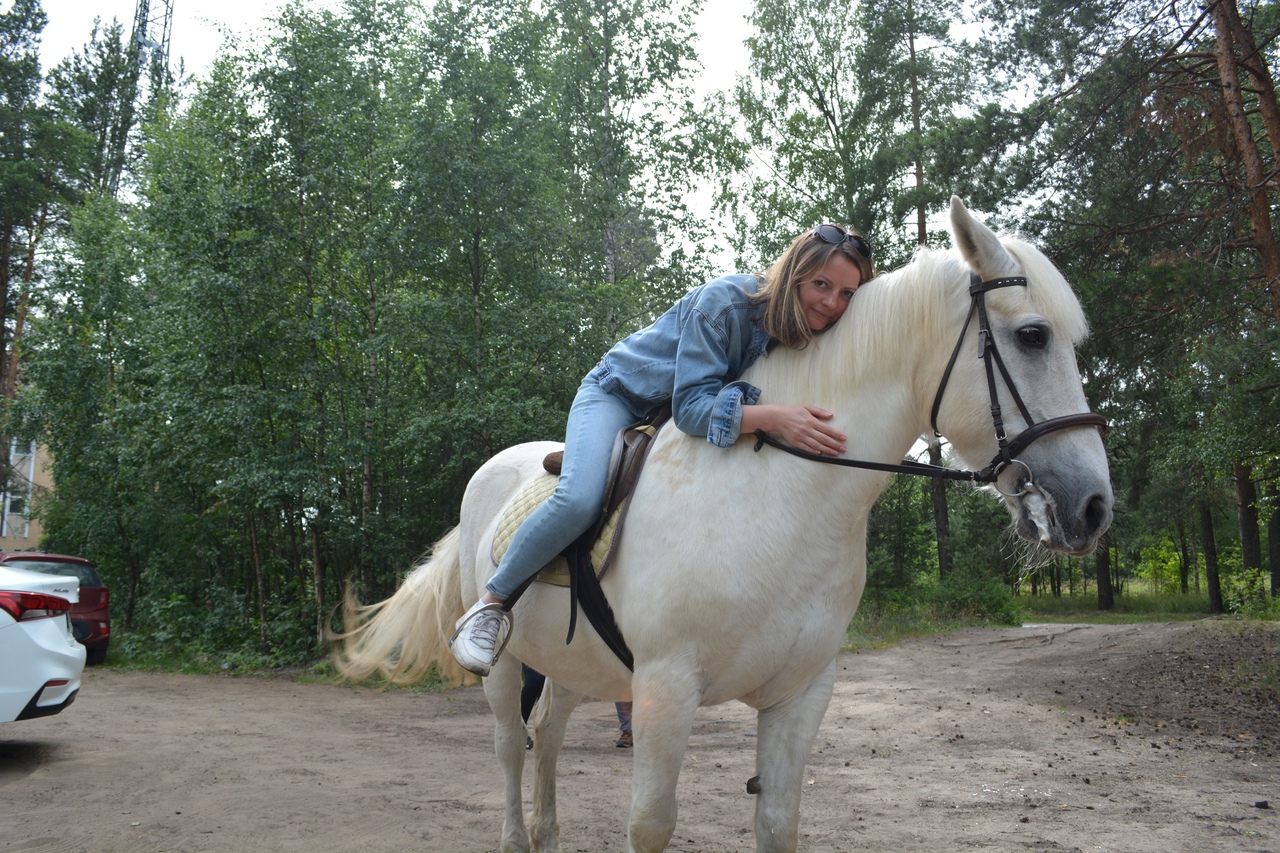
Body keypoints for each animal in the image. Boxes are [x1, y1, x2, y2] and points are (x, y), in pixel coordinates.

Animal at [335, 195, 1116, 845]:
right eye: (1034, 336)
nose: (1093, 507)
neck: (779, 498)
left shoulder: (802, 696)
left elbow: (777, 823)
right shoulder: (664, 692)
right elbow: (650, 825)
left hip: (572, 663)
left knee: (549, 736)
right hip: (506, 667)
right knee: (509, 746)